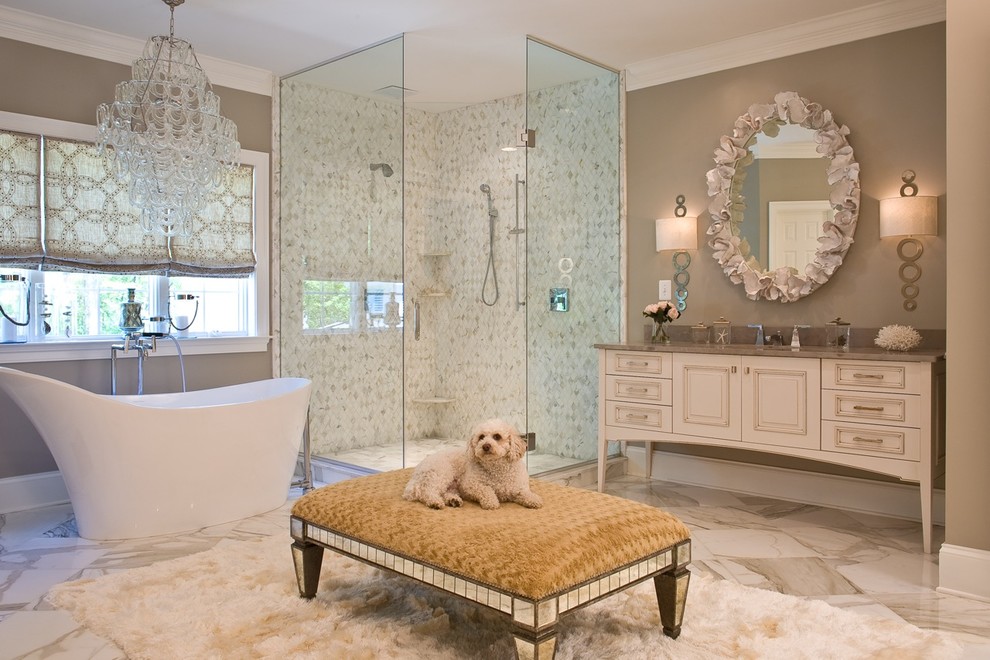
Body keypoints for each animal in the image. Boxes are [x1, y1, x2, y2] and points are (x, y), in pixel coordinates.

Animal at [402, 418, 548, 510]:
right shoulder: (470, 485)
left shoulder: (518, 488)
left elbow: (525, 493)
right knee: (427, 491)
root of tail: (418, 470)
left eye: (497, 436)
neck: (497, 469)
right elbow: (486, 489)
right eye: (481, 437)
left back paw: (453, 501)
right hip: (441, 473)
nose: (486, 446)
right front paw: (491, 502)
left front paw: (534, 499)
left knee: (445, 492)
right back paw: (435, 502)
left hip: (450, 484)